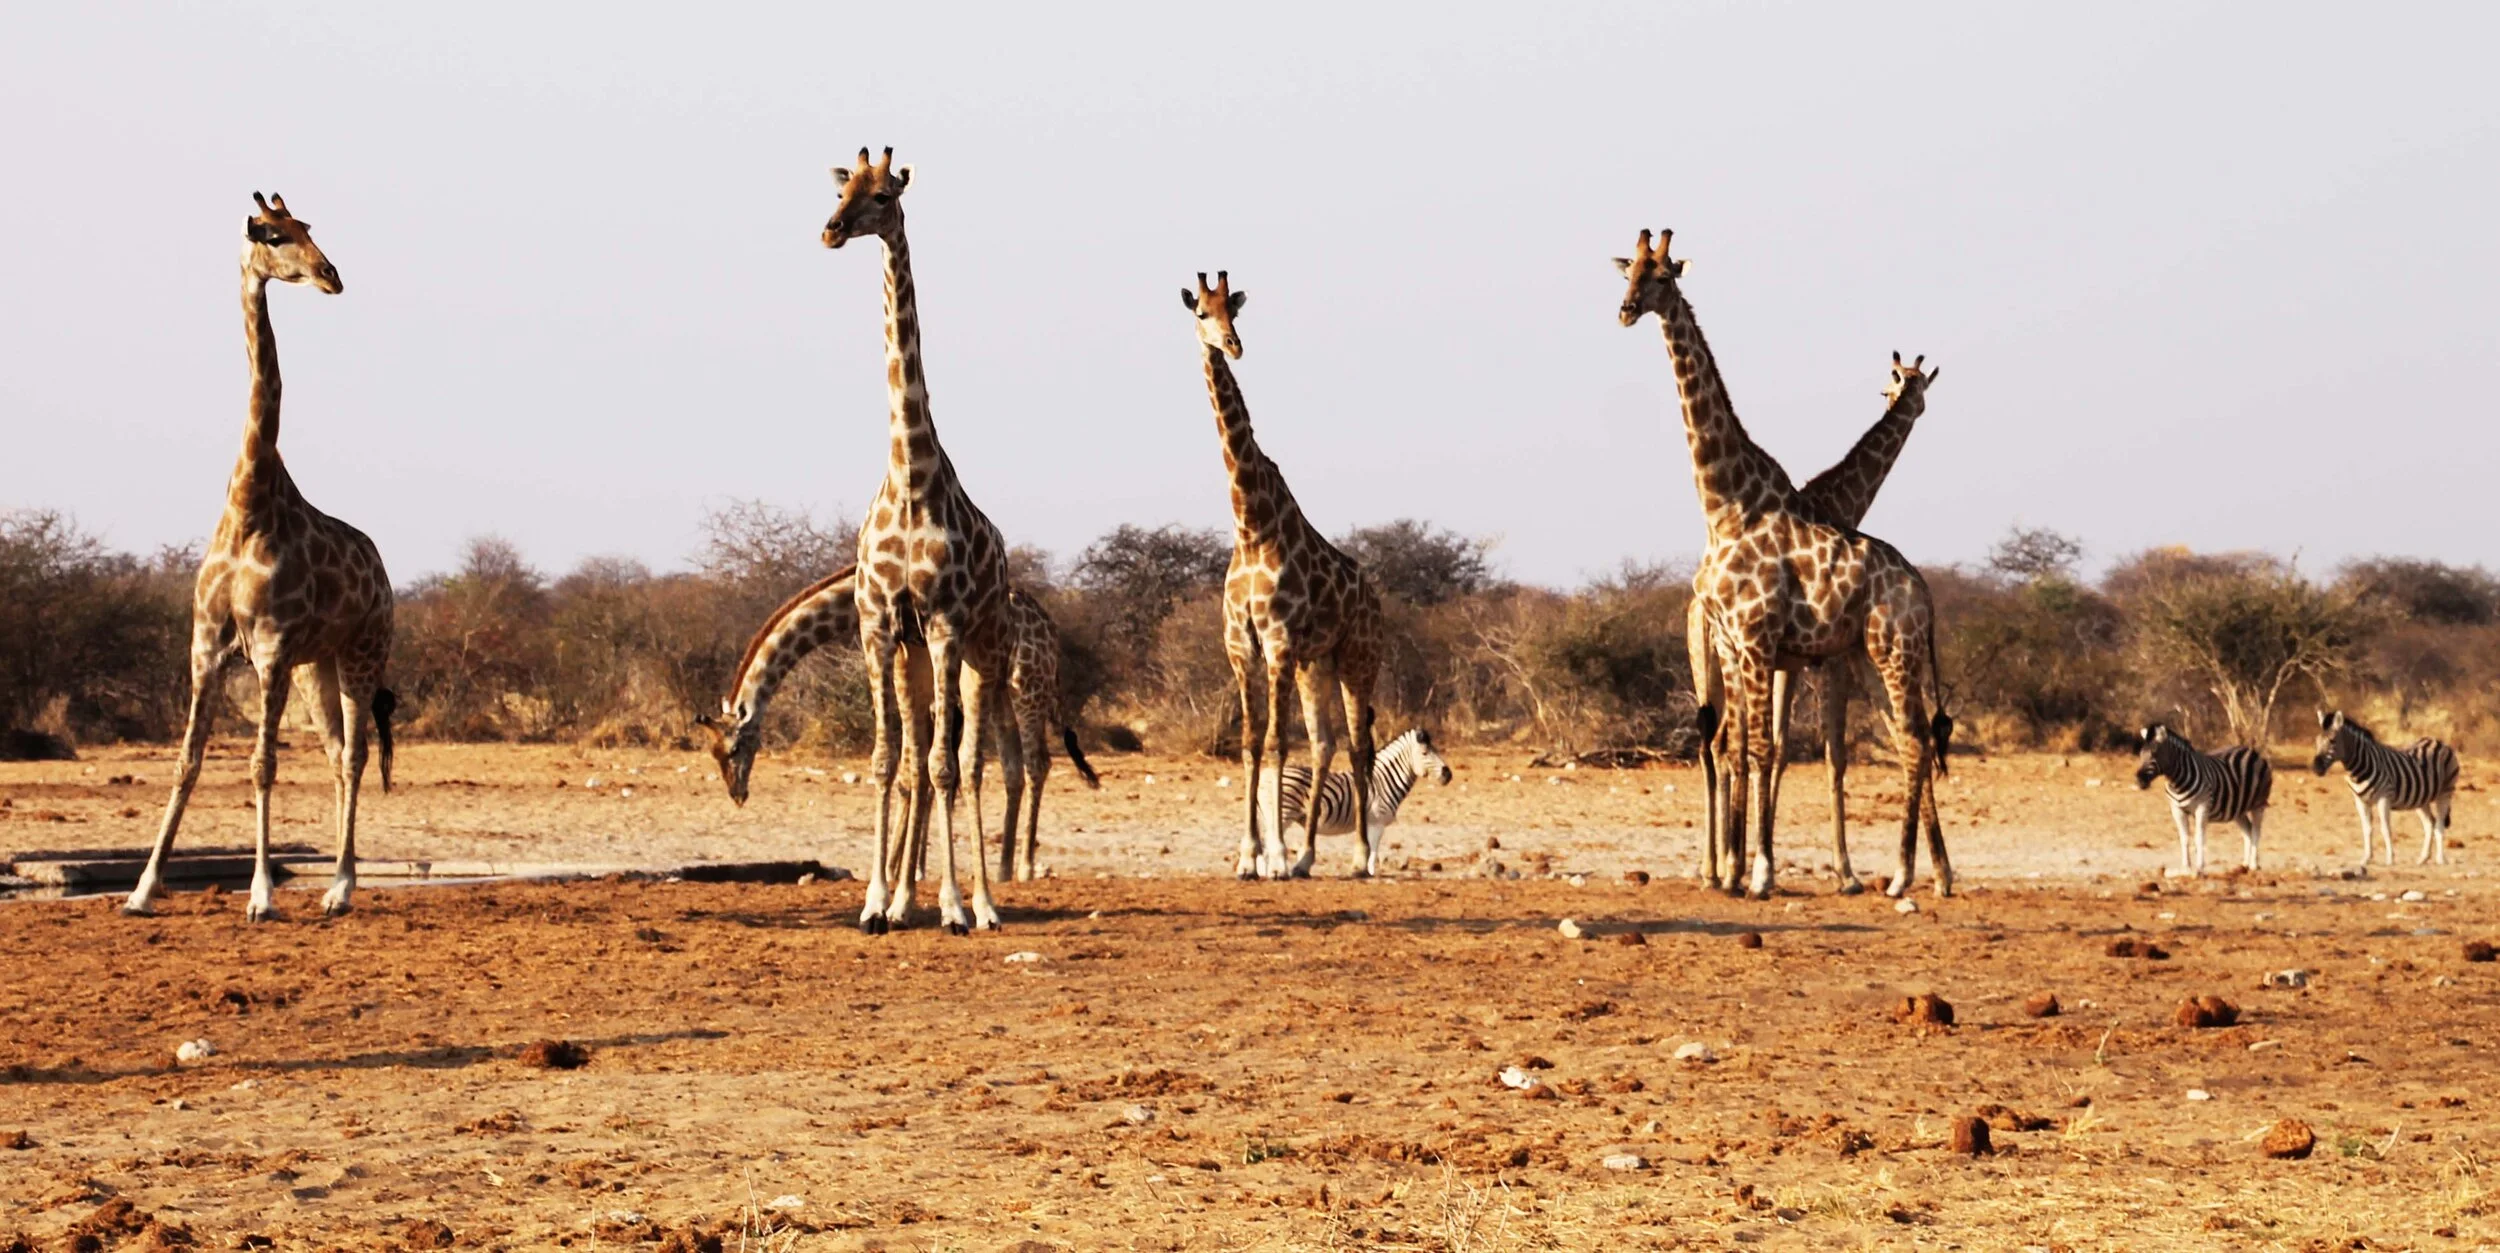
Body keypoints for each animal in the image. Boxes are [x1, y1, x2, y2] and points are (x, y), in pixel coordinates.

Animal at [125, 193, 396, 923]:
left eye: (309, 228)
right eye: (272, 234)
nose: (332, 275)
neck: (249, 501)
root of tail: (383, 570)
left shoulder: (270, 647)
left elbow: (260, 766)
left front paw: (261, 893)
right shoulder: (206, 648)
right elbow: (187, 761)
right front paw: (141, 888)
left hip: (362, 651)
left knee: (356, 754)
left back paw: (341, 887)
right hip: (316, 667)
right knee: (336, 753)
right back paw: (338, 882)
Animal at [695, 569, 1096, 882]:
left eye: (733, 749)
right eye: (713, 753)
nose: (737, 794)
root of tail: (1051, 631)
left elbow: (911, 777)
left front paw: (894, 869)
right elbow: (923, 777)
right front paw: (912, 868)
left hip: (1027, 688)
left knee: (1037, 764)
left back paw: (1025, 867)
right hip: (1001, 697)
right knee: (1013, 769)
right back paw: (1003, 870)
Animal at [1184, 271, 1384, 880]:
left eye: (1235, 311)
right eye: (1201, 312)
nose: (1232, 345)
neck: (1252, 526)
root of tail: (1377, 598)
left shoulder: (1277, 643)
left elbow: (1276, 742)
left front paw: (1270, 855)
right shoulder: (1242, 646)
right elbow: (1251, 741)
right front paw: (1250, 856)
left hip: (1357, 657)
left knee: (1359, 744)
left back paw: (1360, 858)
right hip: (1317, 662)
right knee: (1324, 743)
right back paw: (1308, 856)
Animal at [1688, 353, 1942, 894]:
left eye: (1911, 387)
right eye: (1890, 388)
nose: (1906, 405)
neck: (1840, 502)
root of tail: (1694, 604)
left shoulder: (1794, 658)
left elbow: (1780, 746)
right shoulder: (1821, 659)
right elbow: (1819, 753)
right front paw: (1841, 873)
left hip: (1705, 666)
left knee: (1711, 743)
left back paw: (1712, 867)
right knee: (1719, 743)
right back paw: (1718, 866)